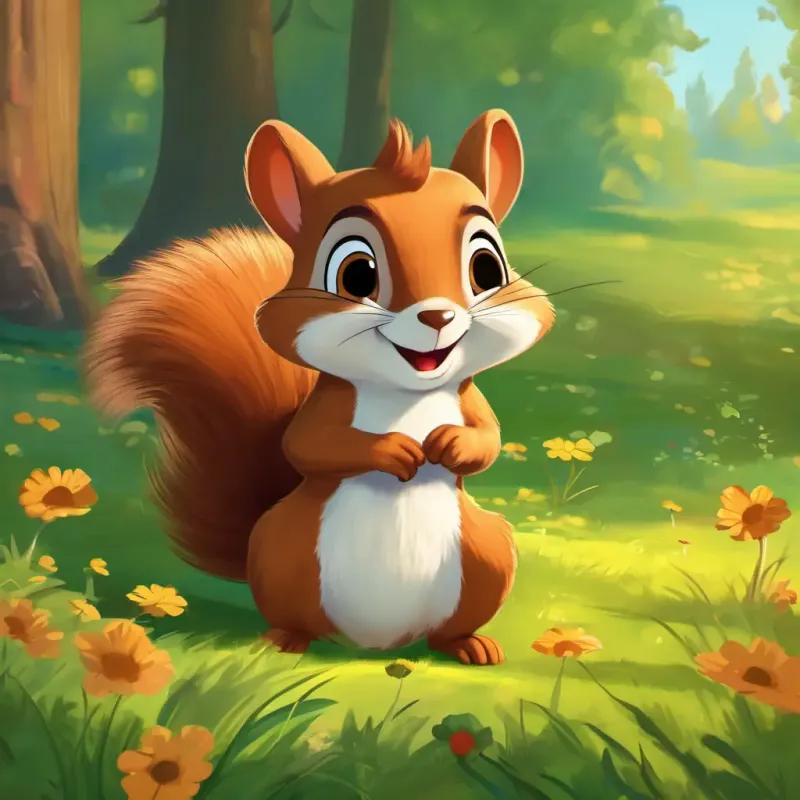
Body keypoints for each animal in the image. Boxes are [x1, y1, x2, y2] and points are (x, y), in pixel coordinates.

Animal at [84, 109, 555, 666]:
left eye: (487, 268)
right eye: (356, 274)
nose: (437, 316)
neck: (406, 394)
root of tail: (375, 643)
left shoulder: (470, 402)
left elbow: (489, 439)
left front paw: (451, 444)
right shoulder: (324, 406)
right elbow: (309, 444)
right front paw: (393, 450)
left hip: (488, 553)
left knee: (453, 623)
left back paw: (470, 643)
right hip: (282, 555)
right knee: (293, 617)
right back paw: (282, 641)